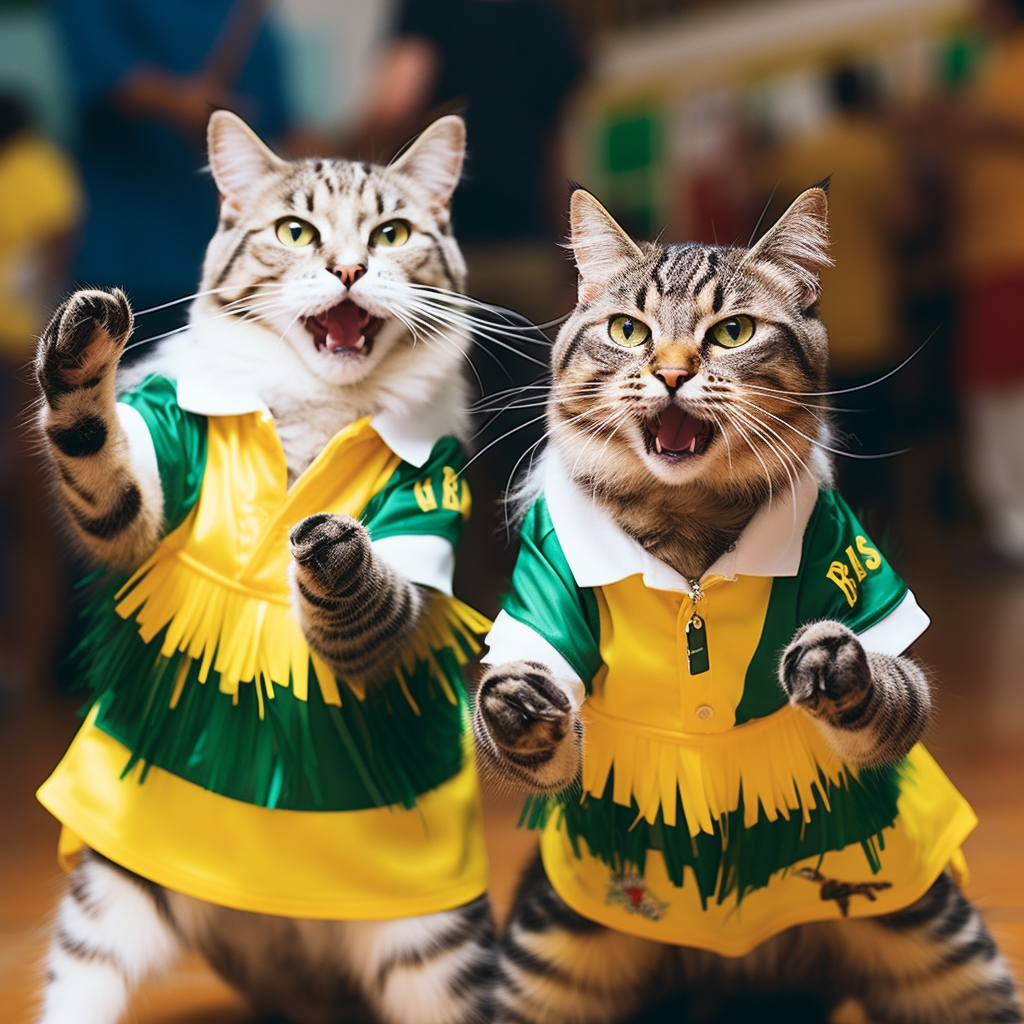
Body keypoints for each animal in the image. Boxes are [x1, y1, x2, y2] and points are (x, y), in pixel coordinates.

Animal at [34, 112, 493, 1024]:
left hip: (432, 951)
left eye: (391, 235)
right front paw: (84, 343)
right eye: (296, 232)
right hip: (111, 897)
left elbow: (369, 595)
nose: (349, 269)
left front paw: (327, 537)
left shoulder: (414, 568)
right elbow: (94, 448)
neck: (319, 406)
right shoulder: (138, 498)